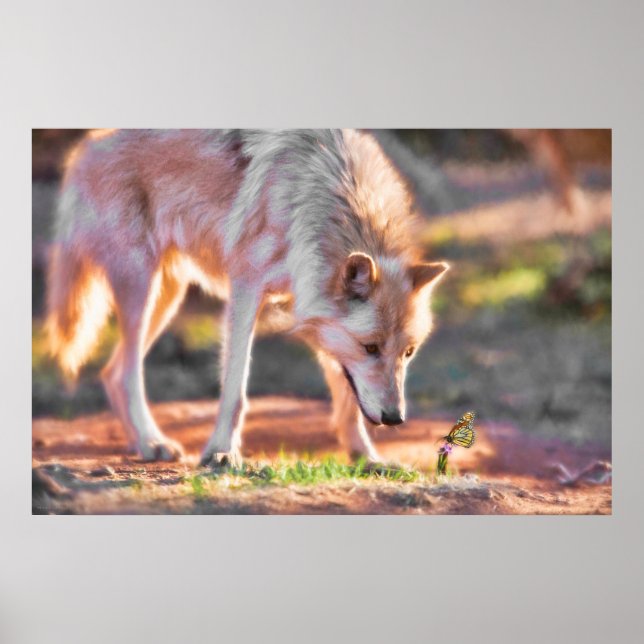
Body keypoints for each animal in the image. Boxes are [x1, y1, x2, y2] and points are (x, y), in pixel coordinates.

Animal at [46, 129, 448, 466]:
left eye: (408, 352)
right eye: (371, 348)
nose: (395, 418)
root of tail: (86, 147)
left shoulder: (313, 310)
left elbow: (347, 400)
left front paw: (366, 457)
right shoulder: (245, 289)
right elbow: (235, 390)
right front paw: (221, 452)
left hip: (167, 296)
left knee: (112, 372)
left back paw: (141, 443)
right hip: (140, 287)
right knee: (127, 372)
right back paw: (151, 442)